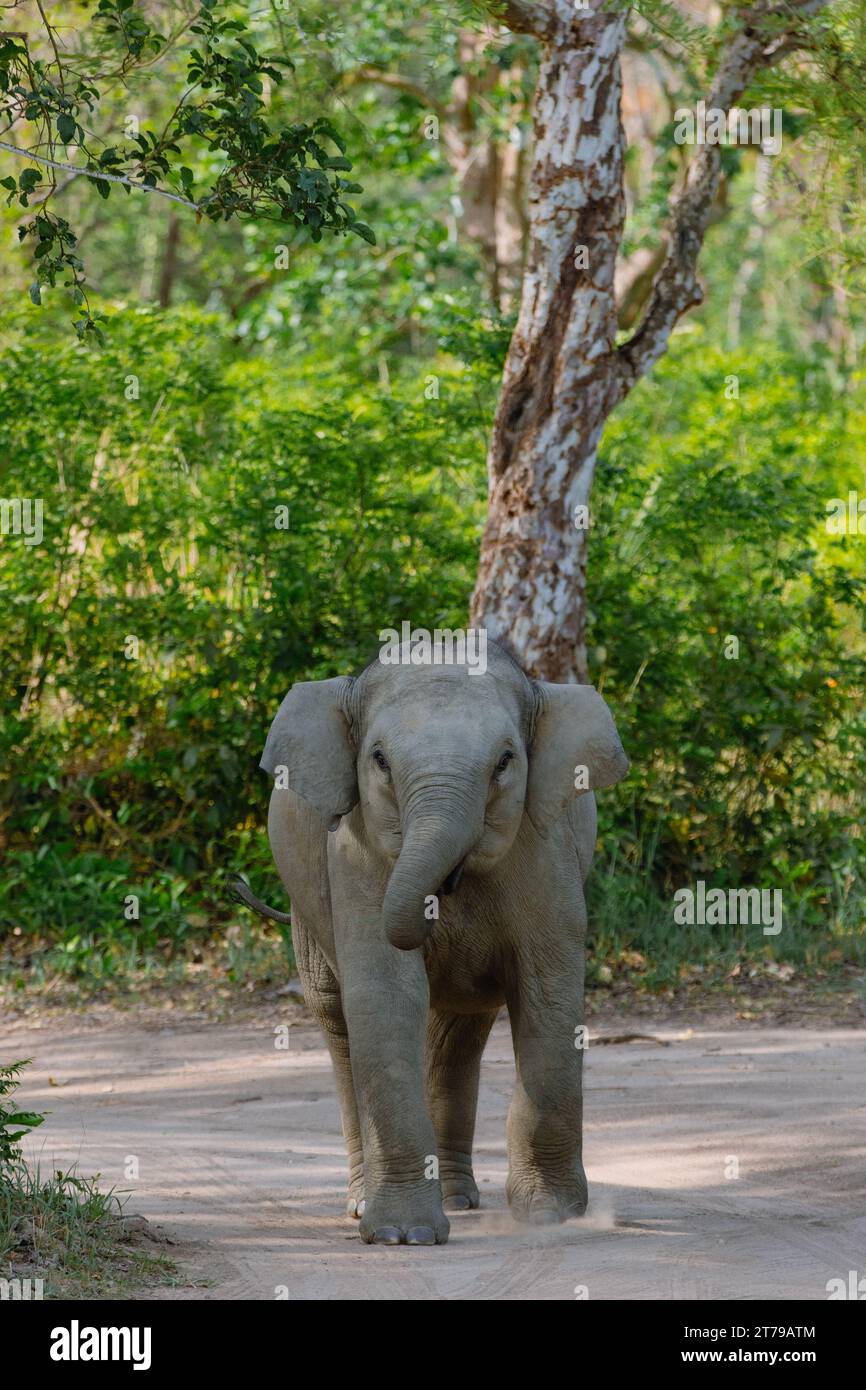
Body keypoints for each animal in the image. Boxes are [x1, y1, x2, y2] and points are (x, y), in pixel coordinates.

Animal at [247, 639, 625, 1251]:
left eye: (505, 761)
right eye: (379, 759)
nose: (441, 896)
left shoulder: (546, 848)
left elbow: (549, 995)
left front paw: (551, 1216)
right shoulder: (354, 848)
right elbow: (386, 994)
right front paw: (403, 1236)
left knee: (456, 1035)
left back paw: (457, 1200)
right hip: (304, 910)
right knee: (339, 1023)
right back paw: (365, 1203)